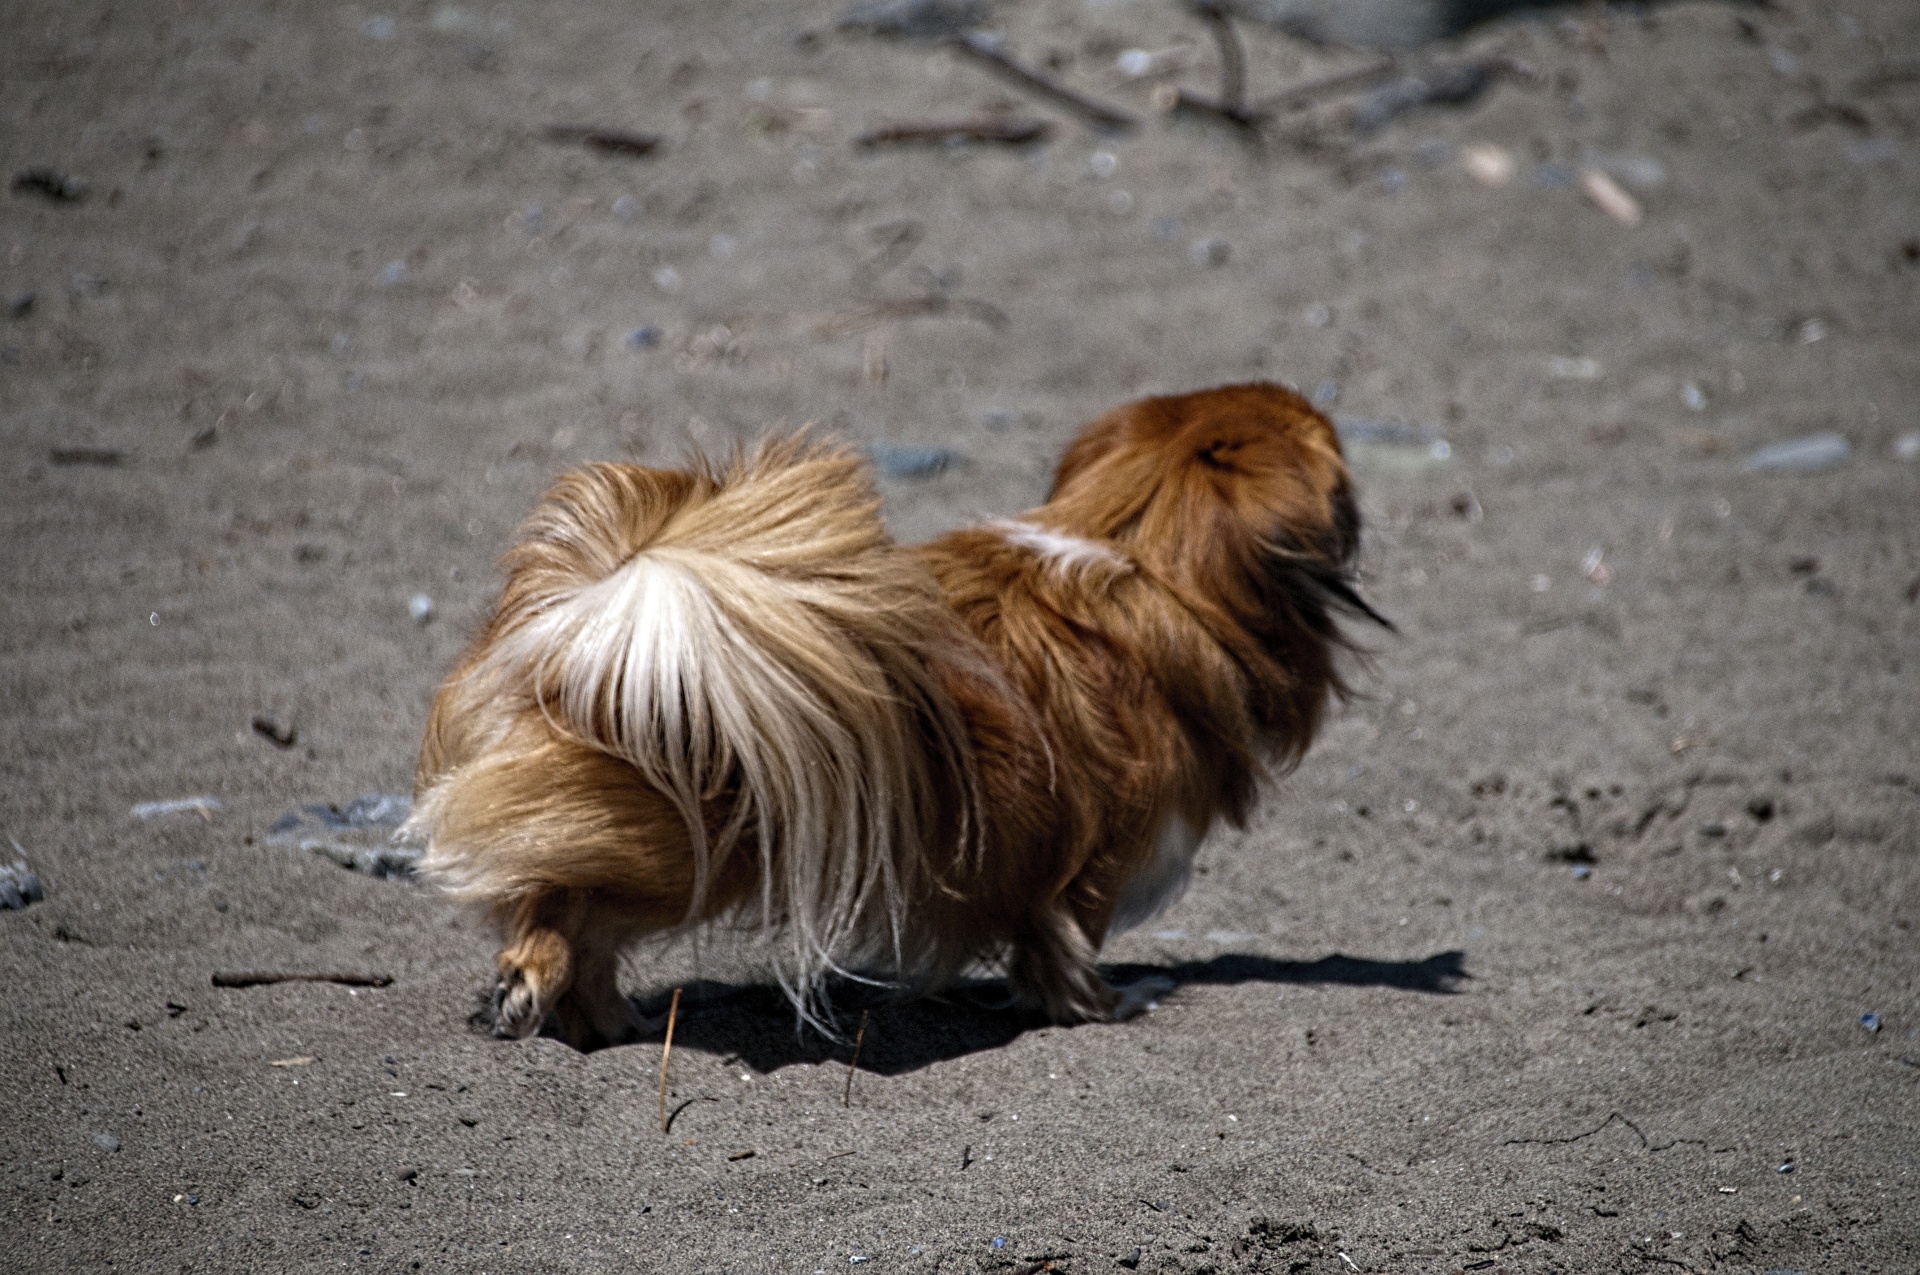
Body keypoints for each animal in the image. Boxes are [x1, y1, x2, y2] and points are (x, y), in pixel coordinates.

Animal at [412, 384, 1390, 1052]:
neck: (1140, 554)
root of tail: (593, 633)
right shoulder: (1092, 859)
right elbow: (1065, 942)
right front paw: (1105, 1005)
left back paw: (612, 1020)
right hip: (685, 854)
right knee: (564, 912)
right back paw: (553, 993)